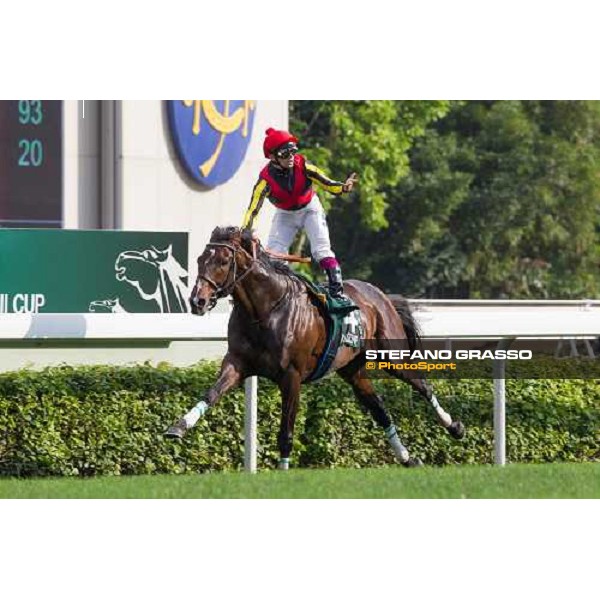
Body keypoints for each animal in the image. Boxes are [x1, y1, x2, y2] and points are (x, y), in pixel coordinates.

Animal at [166, 226, 466, 468]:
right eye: (200, 259)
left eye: (223, 260)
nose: (197, 301)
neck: (265, 310)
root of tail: (381, 296)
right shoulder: (238, 362)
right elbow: (211, 393)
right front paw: (178, 427)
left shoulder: (291, 376)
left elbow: (286, 432)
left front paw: (282, 471)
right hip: (352, 370)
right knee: (380, 409)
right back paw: (407, 457)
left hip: (392, 357)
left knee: (423, 386)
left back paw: (454, 427)